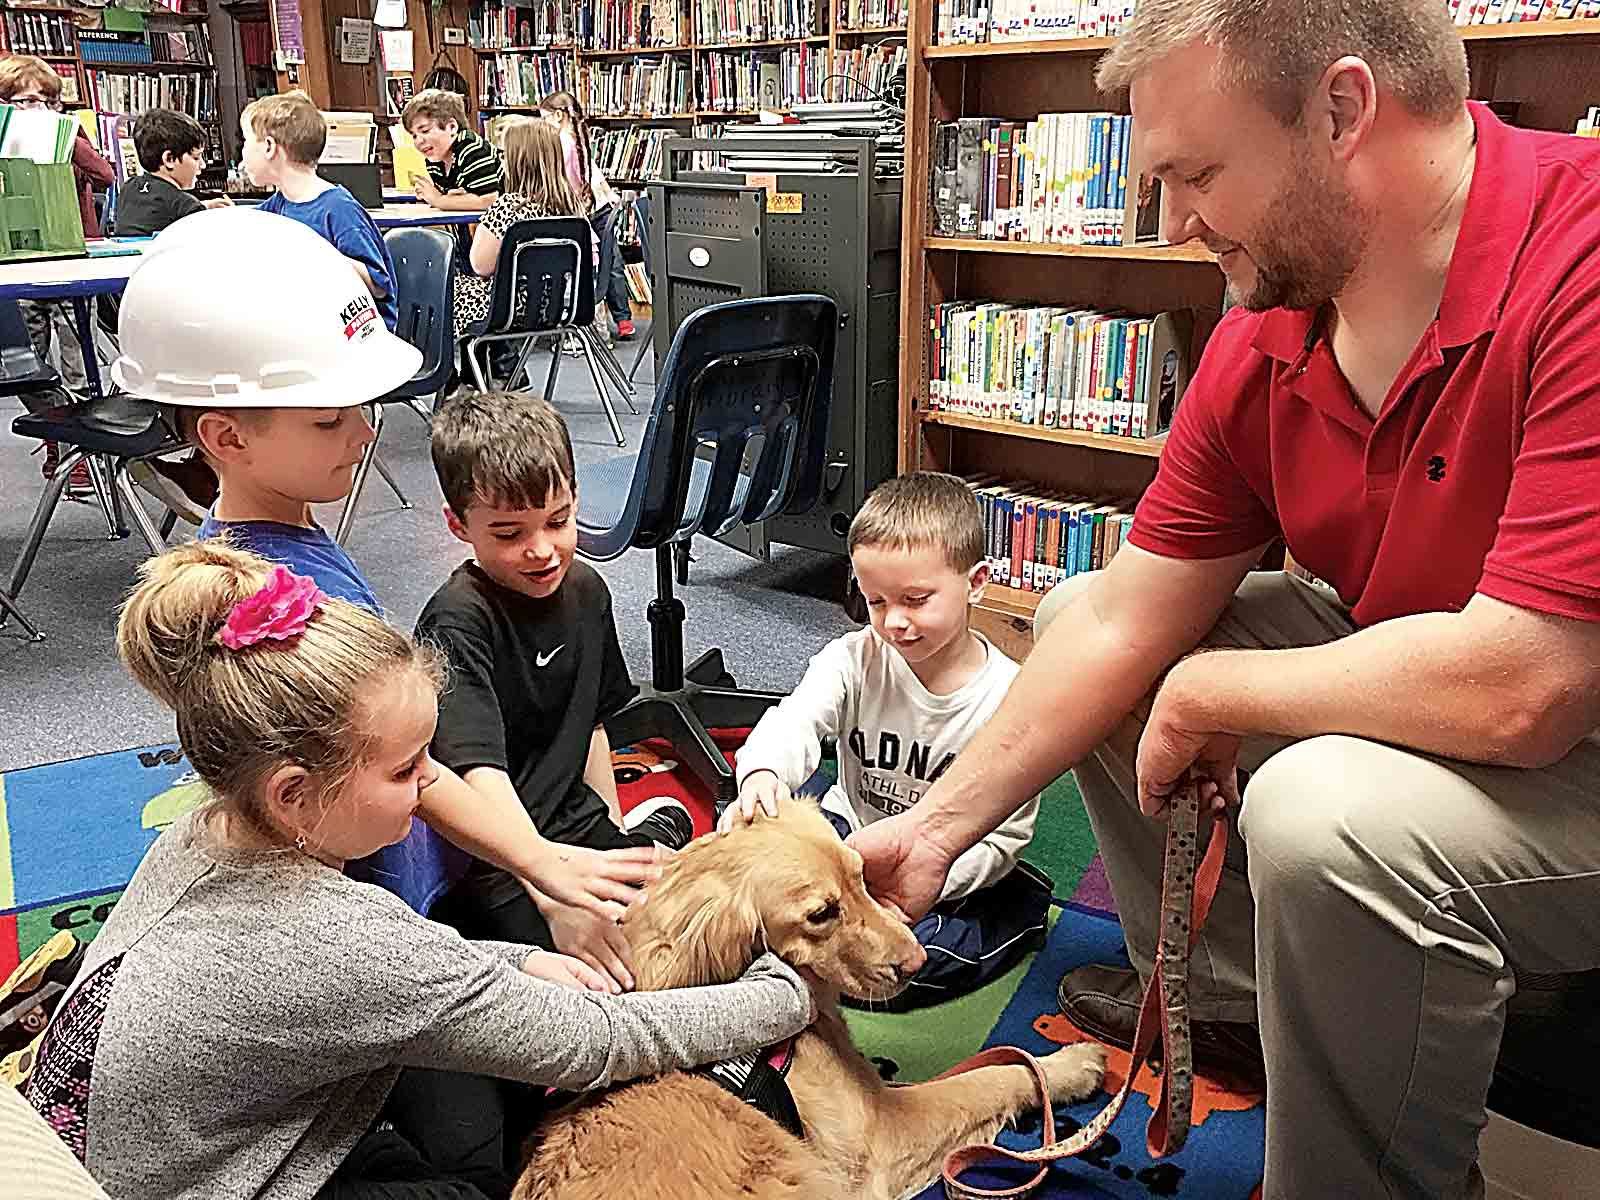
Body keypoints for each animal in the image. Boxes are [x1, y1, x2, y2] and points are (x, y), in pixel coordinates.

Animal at [518, 800, 1107, 1200]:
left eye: (862, 875)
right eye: (822, 913)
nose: (915, 961)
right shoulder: (885, 1133)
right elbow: (989, 1077)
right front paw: (1069, 1066)